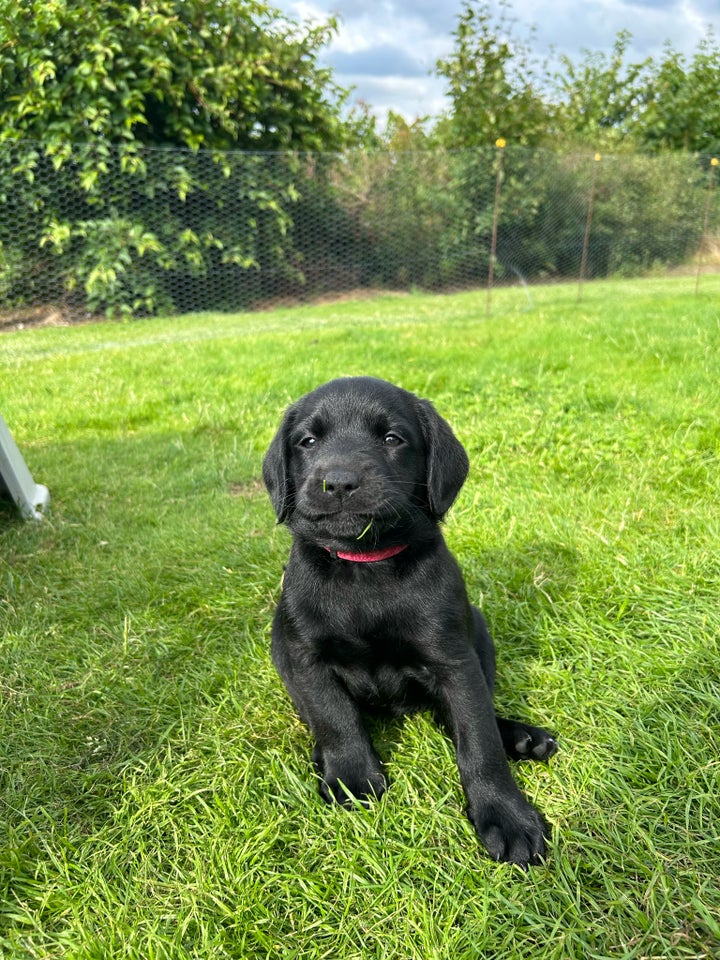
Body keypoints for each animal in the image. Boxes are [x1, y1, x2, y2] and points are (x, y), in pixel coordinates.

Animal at [262, 376, 556, 872]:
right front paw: (352, 777)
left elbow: (478, 742)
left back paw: (521, 738)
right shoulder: (304, 656)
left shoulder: (454, 662)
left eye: (392, 438)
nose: (339, 482)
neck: (366, 567)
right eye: (308, 441)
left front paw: (506, 816)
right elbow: (334, 716)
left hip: (479, 633)